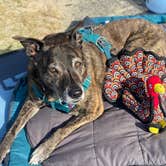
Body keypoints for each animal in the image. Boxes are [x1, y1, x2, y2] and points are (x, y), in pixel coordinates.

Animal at [0, 18, 166, 164]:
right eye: (53, 70)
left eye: (78, 64)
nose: (77, 93)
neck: (54, 93)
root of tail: (159, 28)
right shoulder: (31, 101)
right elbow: (13, 128)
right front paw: (2, 149)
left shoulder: (94, 109)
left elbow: (61, 129)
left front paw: (42, 150)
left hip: (132, 50)